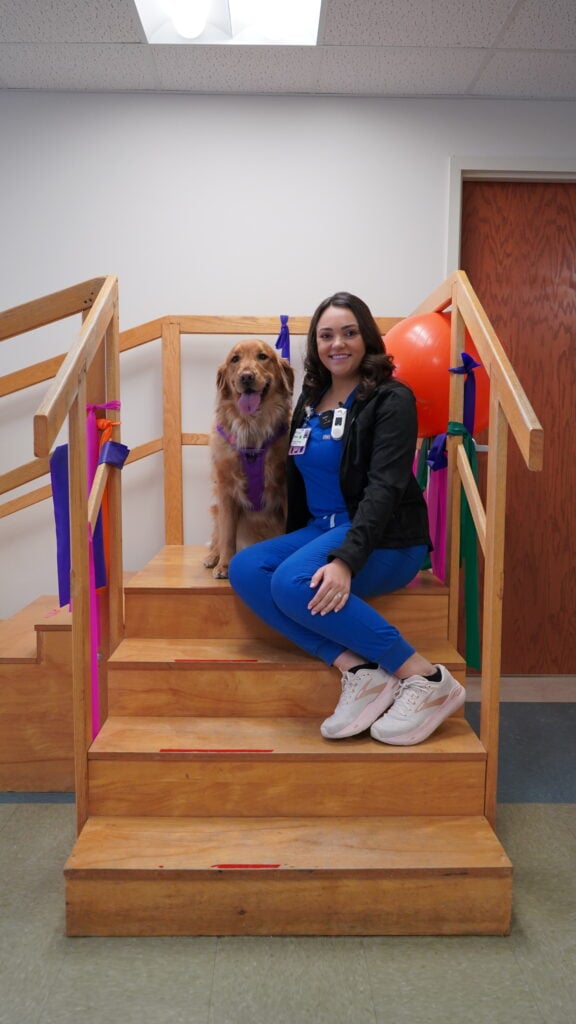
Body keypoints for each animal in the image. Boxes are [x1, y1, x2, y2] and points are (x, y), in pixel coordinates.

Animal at [201, 335, 291, 577]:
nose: (247, 376)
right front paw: (224, 564)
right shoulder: (226, 489)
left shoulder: (285, 486)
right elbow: (227, 534)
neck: (252, 427)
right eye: (235, 359)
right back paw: (212, 556)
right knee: (217, 535)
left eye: (263, 356)